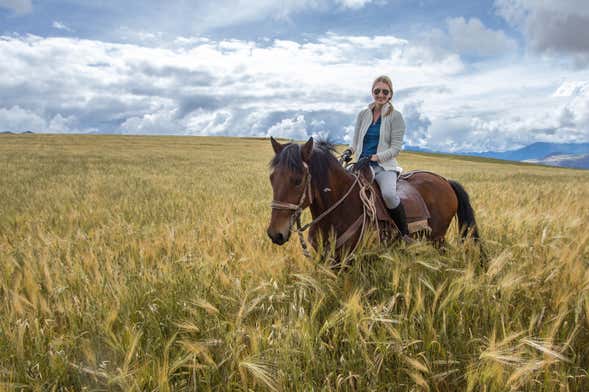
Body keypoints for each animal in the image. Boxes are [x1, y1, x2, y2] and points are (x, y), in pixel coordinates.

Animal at [266, 136, 482, 262]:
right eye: (272, 178)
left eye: (297, 180)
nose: (275, 234)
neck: (339, 207)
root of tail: (444, 180)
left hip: (437, 238)